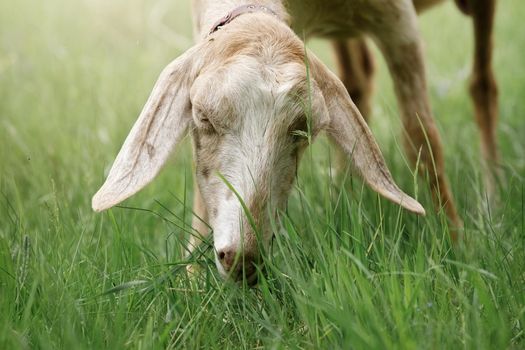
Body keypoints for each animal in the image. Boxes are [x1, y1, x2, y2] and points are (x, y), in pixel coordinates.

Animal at [91, 0, 470, 284]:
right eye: (203, 117)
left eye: (303, 131)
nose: (243, 259)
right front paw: (191, 275)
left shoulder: (399, 24)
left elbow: (422, 138)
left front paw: (453, 247)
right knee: (359, 77)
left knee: (479, 83)